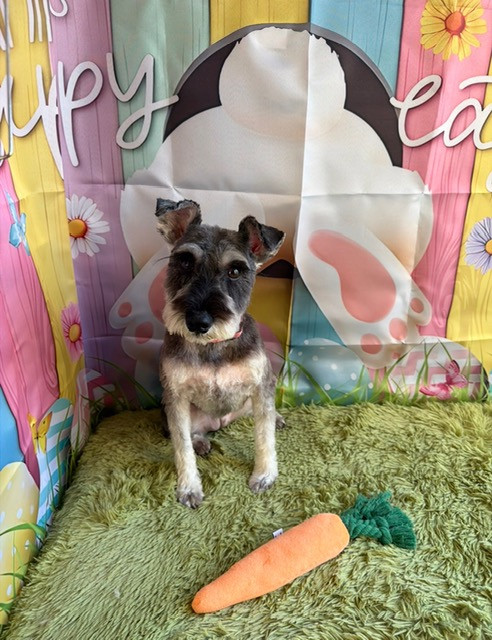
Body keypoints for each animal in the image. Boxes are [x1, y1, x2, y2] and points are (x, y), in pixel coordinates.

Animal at [156, 199, 285, 508]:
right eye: (185, 262)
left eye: (235, 271)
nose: (198, 321)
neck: (213, 346)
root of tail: (220, 421)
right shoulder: (175, 397)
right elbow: (181, 445)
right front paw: (188, 487)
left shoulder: (261, 385)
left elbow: (264, 434)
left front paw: (264, 475)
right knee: (192, 433)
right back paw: (202, 441)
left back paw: (277, 418)